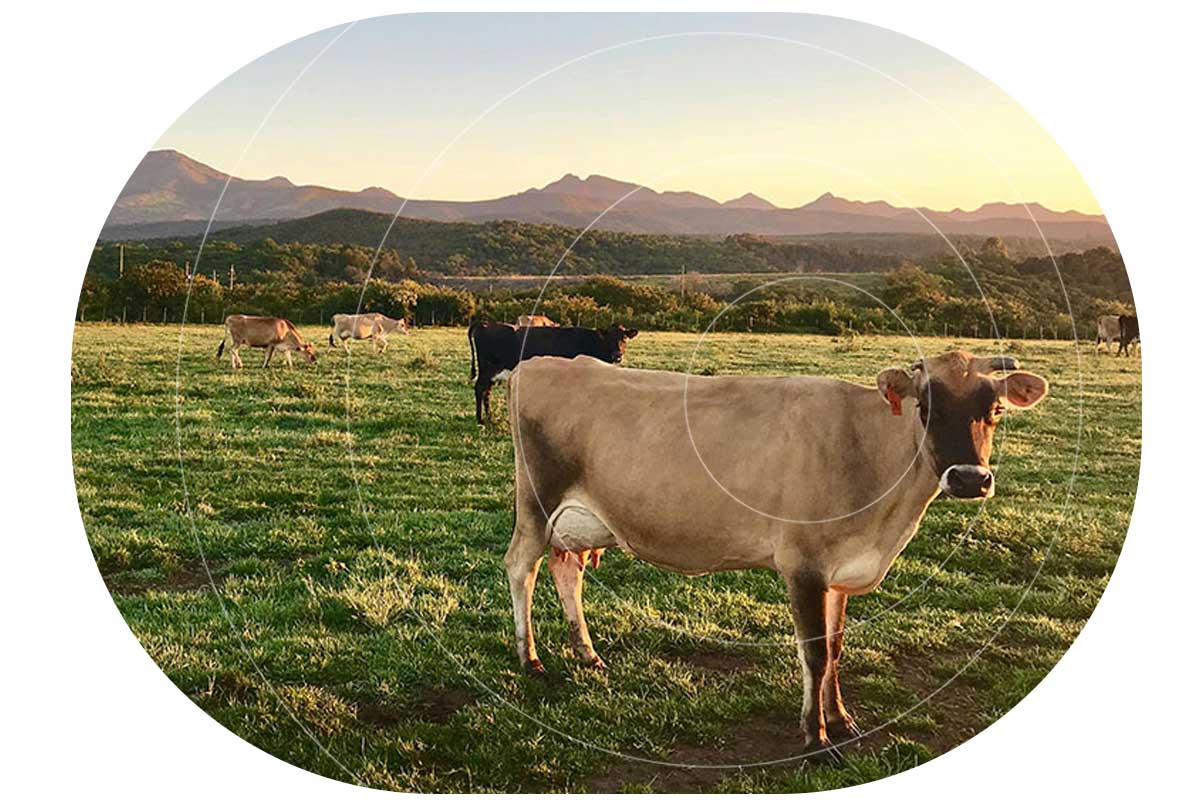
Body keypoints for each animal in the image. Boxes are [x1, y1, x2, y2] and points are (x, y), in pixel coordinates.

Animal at [465, 321, 638, 424]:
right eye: (609, 338)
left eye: (624, 338)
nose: (617, 355)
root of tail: (485, 324)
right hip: (487, 369)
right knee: (480, 389)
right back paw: (480, 420)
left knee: (486, 391)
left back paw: (489, 417)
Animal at [501, 352, 1046, 762]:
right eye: (925, 406)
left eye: (996, 409)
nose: (970, 478)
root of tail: (541, 362)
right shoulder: (803, 565)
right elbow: (815, 654)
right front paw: (816, 738)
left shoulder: (839, 571)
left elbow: (836, 649)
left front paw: (841, 718)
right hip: (537, 503)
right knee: (521, 567)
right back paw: (531, 659)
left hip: (579, 521)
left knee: (566, 571)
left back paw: (587, 654)